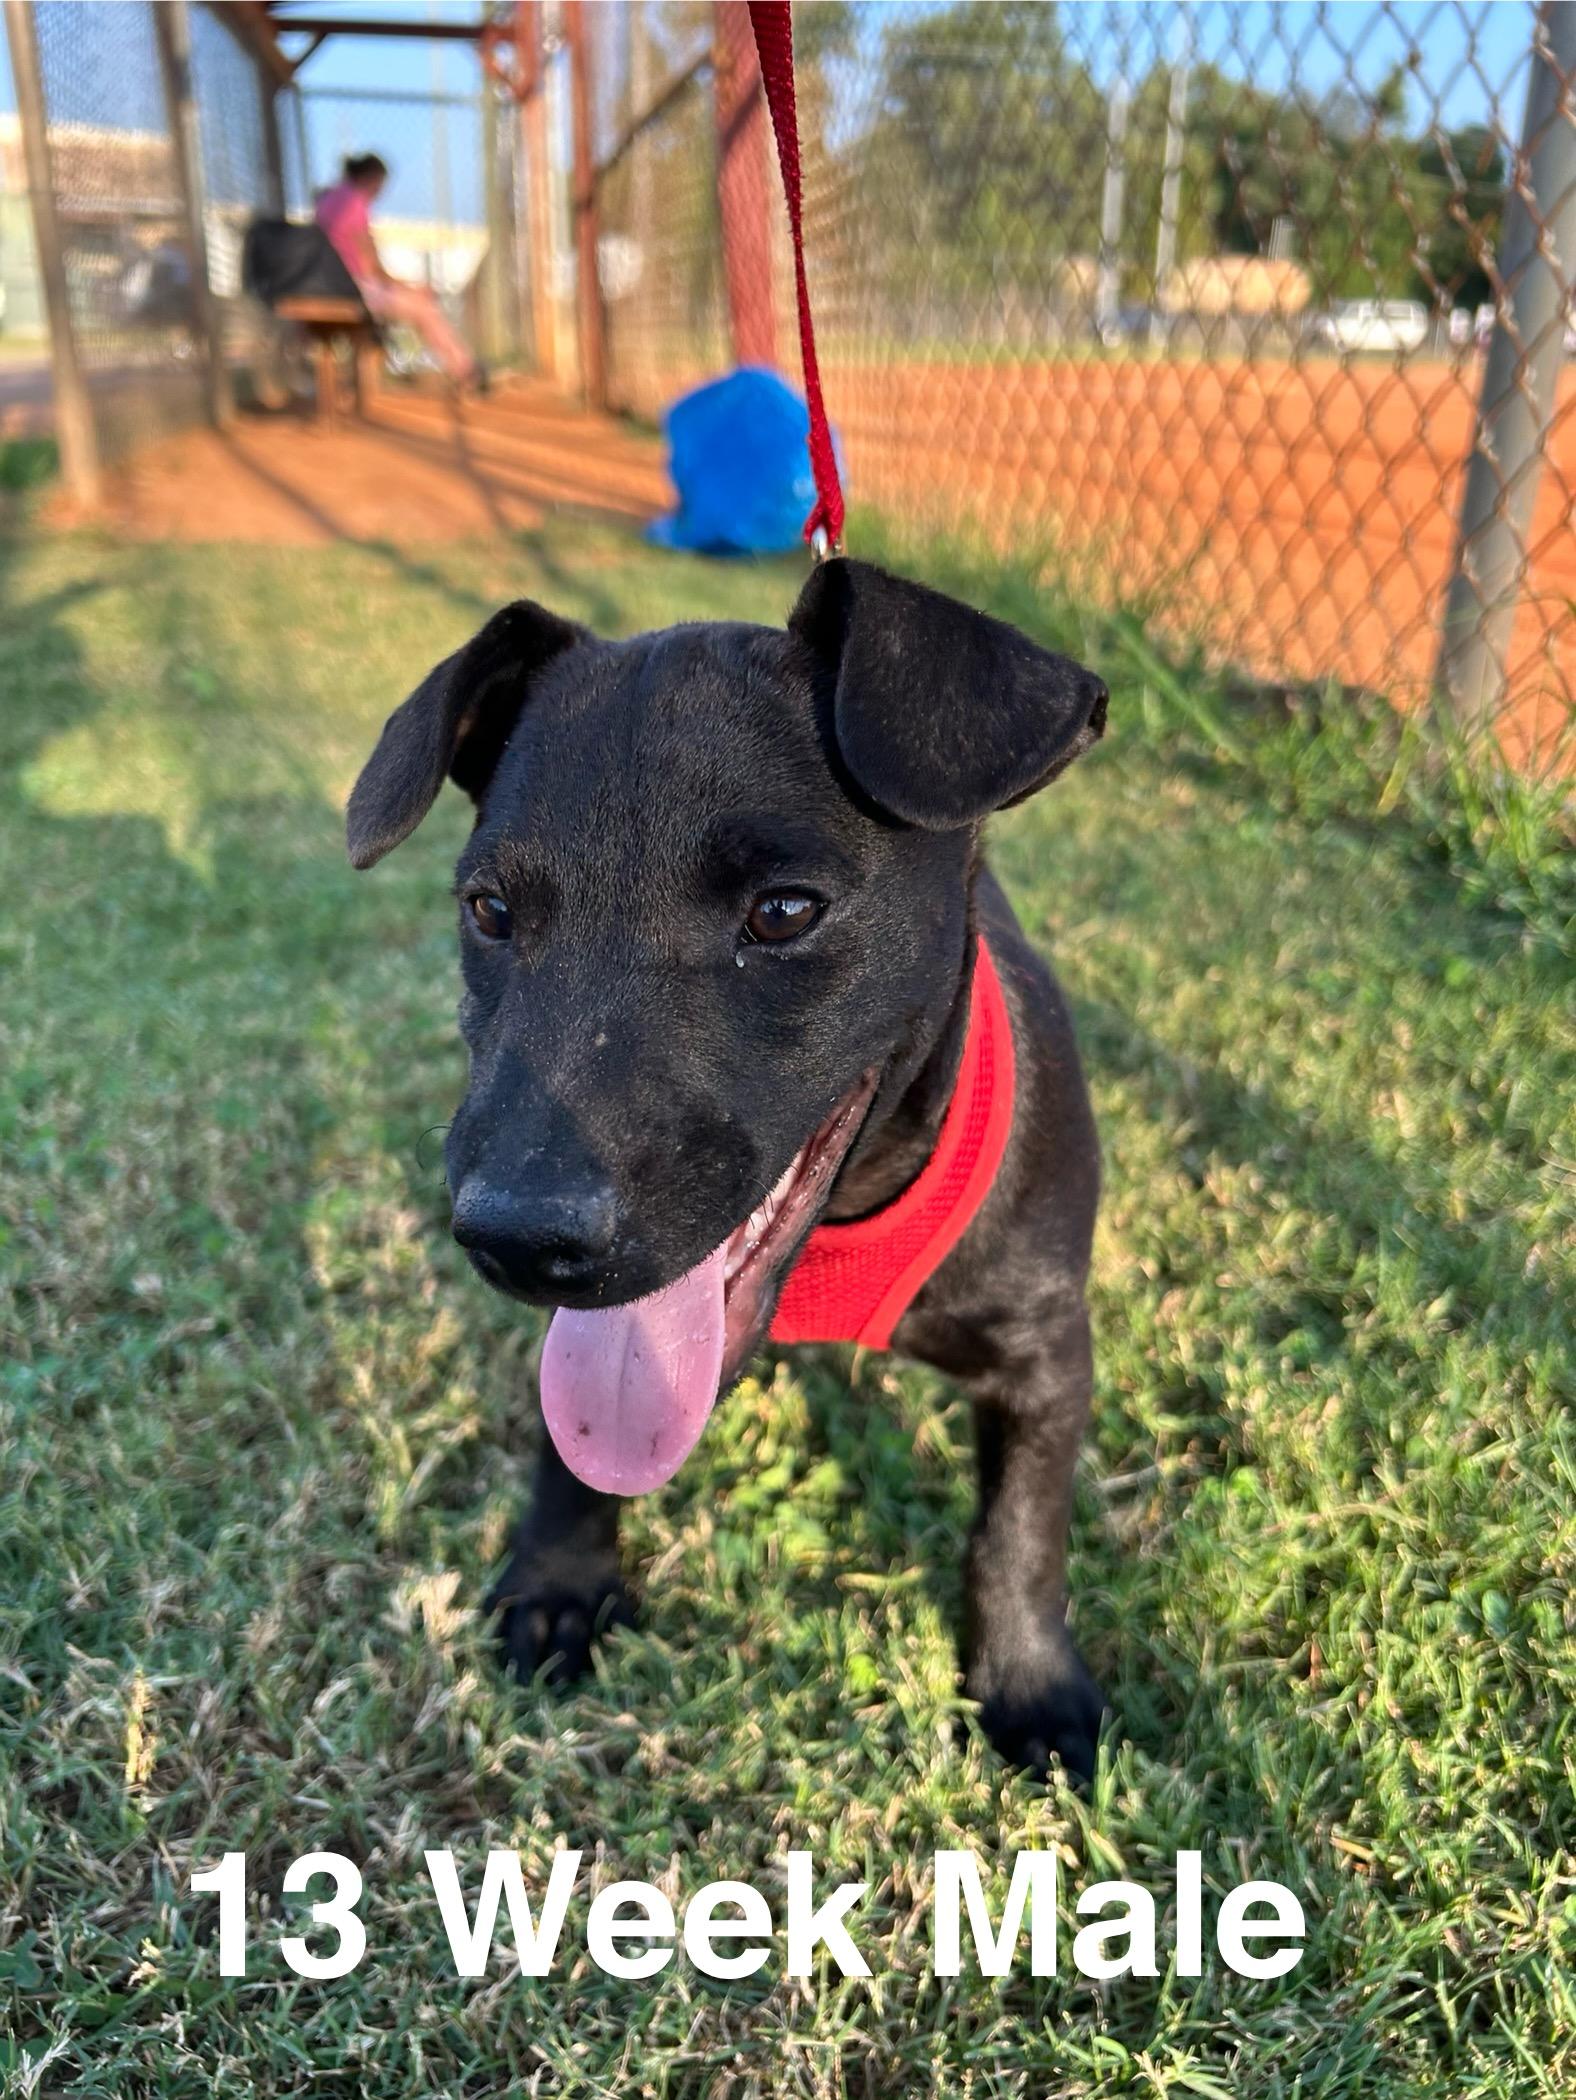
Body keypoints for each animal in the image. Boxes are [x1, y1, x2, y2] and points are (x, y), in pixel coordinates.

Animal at [346, 557, 1109, 1779]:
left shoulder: (1045, 1350)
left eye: (785, 911)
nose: (515, 1236)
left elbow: (1019, 1533)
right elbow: (569, 1440)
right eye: (490, 910)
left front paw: (1029, 1681)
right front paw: (561, 1578)